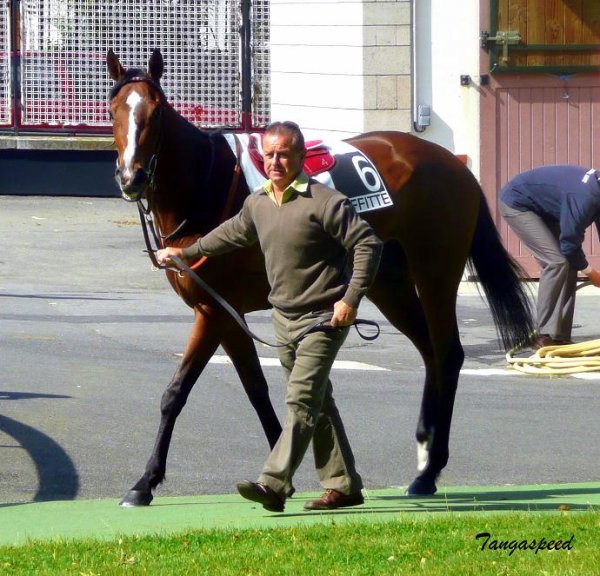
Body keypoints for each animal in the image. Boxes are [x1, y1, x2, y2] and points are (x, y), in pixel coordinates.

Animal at [105, 50, 532, 508]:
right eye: (113, 111)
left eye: (155, 113)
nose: (131, 178)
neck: (209, 184)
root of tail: (455, 164)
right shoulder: (224, 313)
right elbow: (255, 388)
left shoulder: (213, 312)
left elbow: (176, 392)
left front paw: (144, 482)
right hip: (390, 286)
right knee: (431, 353)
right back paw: (424, 454)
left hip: (436, 271)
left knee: (448, 353)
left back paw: (429, 470)